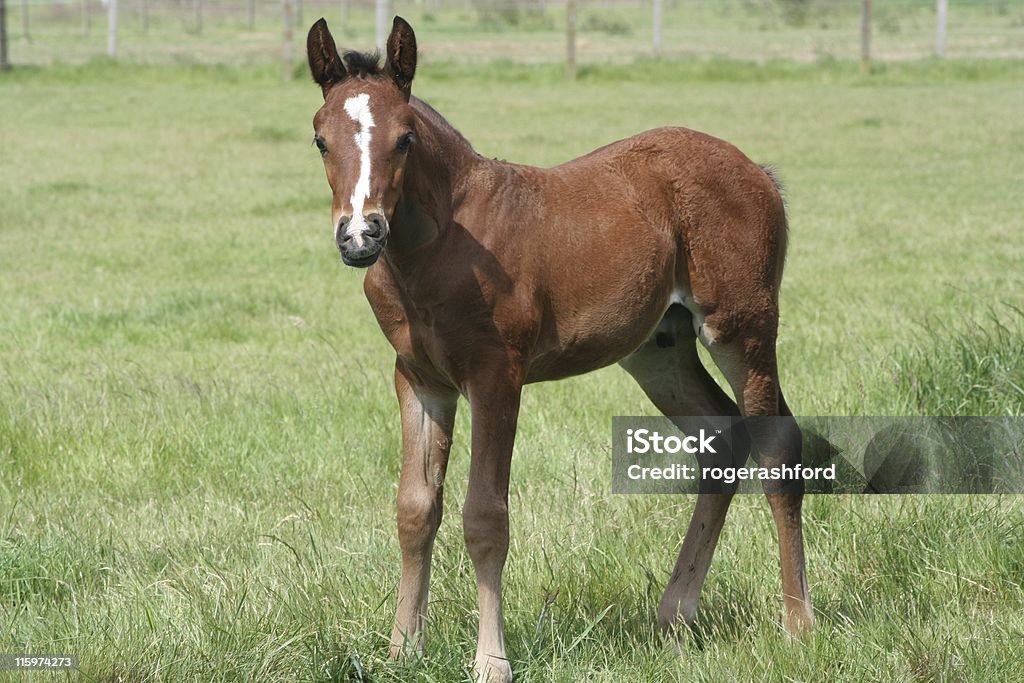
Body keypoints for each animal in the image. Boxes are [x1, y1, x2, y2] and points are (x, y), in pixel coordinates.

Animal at [303, 17, 815, 683]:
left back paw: (797, 624)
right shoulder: (418, 378)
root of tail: (756, 170)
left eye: (405, 138)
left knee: (777, 444)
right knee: (721, 436)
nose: (361, 236)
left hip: (742, 326)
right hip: (659, 349)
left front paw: (491, 661)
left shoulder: (496, 376)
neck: (437, 247)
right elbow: (415, 510)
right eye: (320, 140)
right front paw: (401, 650)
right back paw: (675, 612)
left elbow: (485, 517)